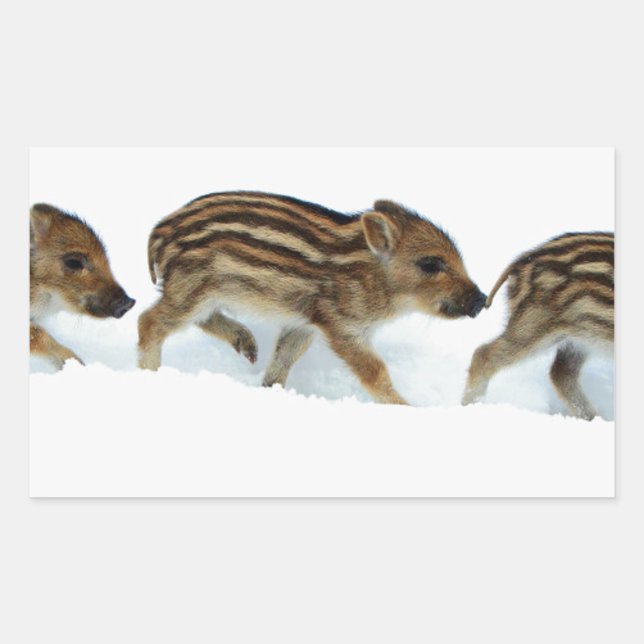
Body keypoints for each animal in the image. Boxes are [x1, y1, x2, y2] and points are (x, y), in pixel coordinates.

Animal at [138, 191, 486, 404]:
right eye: (430, 264)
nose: (481, 300)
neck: (372, 276)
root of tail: (158, 232)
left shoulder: (303, 322)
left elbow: (283, 359)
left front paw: (269, 391)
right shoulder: (342, 325)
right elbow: (375, 372)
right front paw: (408, 407)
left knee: (198, 320)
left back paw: (248, 346)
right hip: (192, 287)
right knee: (149, 321)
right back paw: (149, 374)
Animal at [462, 231, 614, 420]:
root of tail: (520, 263)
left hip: (578, 337)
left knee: (561, 372)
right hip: (535, 325)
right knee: (484, 354)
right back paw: (470, 406)